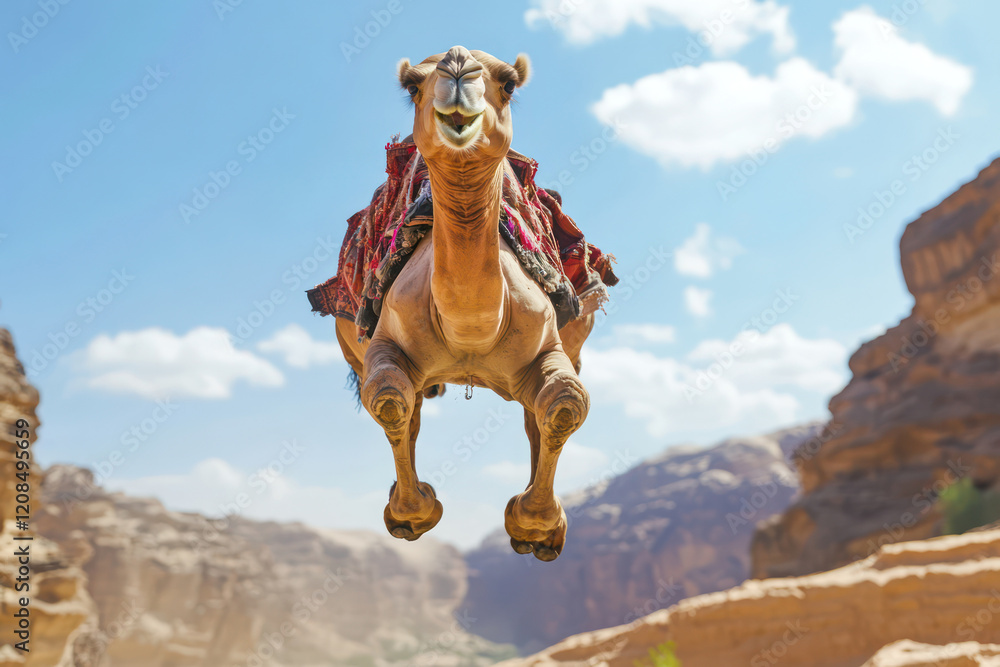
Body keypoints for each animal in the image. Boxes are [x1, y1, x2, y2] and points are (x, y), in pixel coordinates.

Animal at [334, 46, 597, 561]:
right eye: (412, 85)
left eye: (509, 83)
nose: (457, 65)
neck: (473, 327)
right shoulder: (383, 341)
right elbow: (390, 398)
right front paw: (412, 513)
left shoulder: (550, 346)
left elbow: (565, 403)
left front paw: (535, 525)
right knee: (409, 405)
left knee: (536, 413)